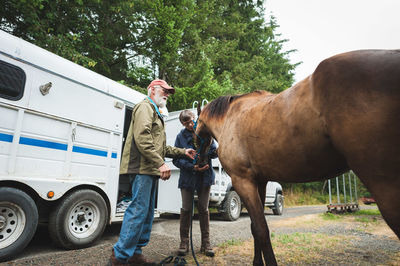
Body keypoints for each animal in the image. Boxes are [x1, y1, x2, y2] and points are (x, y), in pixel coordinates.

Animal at [195, 49, 400, 264]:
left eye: (194, 128)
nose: (199, 162)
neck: (229, 118)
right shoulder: (259, 182)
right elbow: (254, 228)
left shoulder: (243, 181)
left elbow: (261, 230)